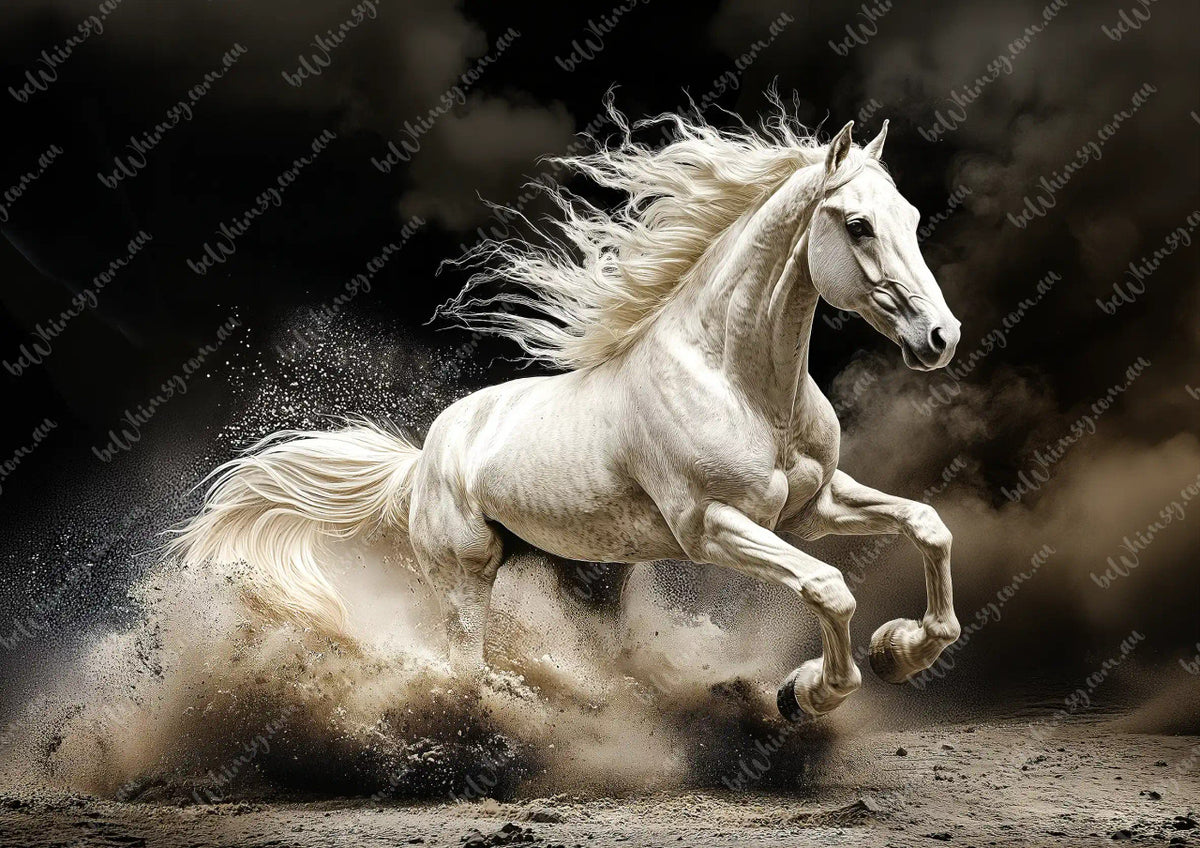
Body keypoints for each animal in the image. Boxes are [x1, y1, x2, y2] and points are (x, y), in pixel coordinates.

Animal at [171, 101, 963, 720]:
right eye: (858, 225)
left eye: (911, 216)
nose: (941, 337)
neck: (736, 384)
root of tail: (423, 459)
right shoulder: (712, 528)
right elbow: (829, 587)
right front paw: (806, 693)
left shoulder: (813, 505)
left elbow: (929, 525)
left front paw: (902, 651)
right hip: (464, 574)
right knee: (461, 668)